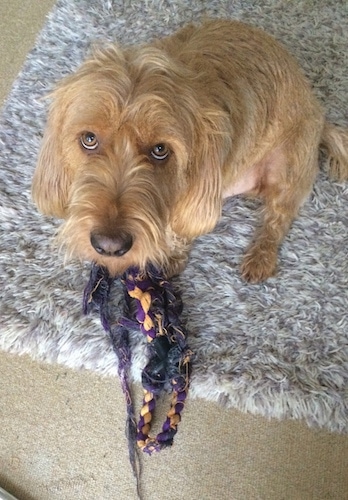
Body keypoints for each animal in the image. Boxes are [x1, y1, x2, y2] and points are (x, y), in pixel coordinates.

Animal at [31, 19, 346, 282]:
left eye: (160, 149)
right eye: (89, 139)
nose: (109, 246)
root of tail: (320, 115)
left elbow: (182, 230)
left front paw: (171, 254)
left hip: (287, 168)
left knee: (279, 218)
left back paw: (261, 257)